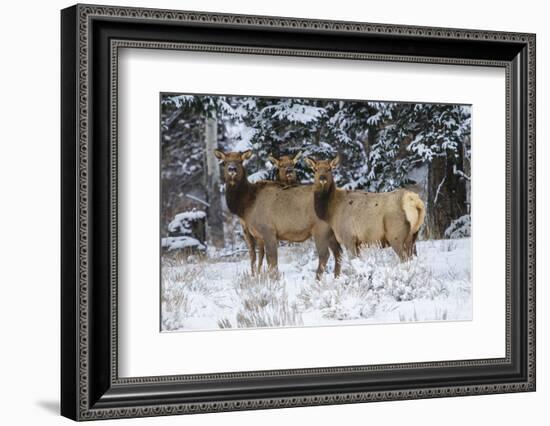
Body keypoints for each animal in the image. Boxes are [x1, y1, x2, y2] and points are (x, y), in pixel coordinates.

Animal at [215, 148, 340, 278]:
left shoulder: (268, 230)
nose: (232, 169)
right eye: (224, 162)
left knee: (325, 254)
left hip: (320, 229)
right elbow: (262, 258)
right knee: (338, 253)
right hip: (331, 231)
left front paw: (273, 279)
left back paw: (318, 279)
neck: (247, 205)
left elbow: (272, 259)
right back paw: (337, 277)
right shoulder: (258, 235)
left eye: (240, 161)